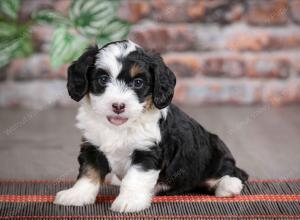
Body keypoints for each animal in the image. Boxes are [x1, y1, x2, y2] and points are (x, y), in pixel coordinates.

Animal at [54, 40, 248, 212]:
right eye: (102, 79)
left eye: (138, 83)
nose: (118, 106)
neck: (121, 127)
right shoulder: (92, 146)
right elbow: (88, 173)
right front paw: (76, 195)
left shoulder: (147, 151)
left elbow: (134, 178)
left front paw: (129, 201)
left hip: (215, 155)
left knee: (231, 173)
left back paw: (229, 185)